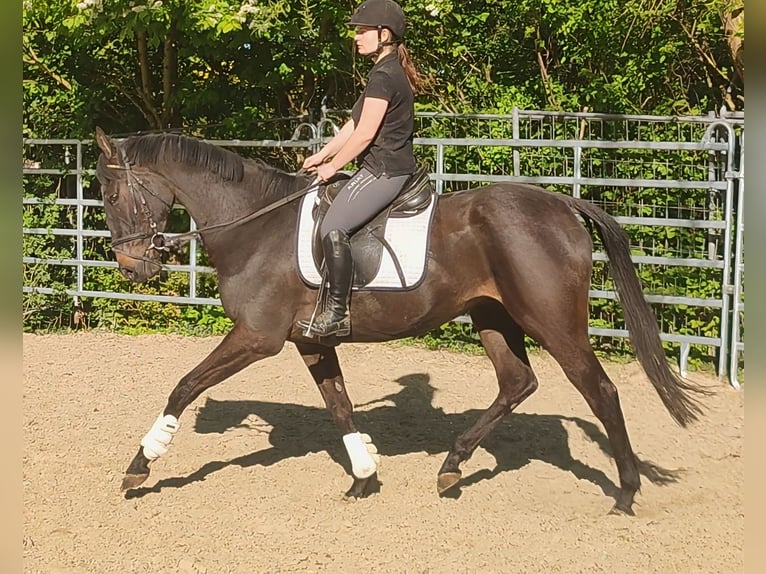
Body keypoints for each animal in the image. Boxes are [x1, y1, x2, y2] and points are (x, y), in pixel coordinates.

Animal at [93, 127, 706, 515]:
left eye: (111, 192)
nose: (131, 266)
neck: (253, 227)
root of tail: (561, 205)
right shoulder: (309, 341)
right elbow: (339, 405)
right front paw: (364, 477)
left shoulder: (257, 337)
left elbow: (184, 386)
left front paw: (140, 466)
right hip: (493, 316)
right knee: (517, 382)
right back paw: (452, 467)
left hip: (553, 322)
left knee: (599, 390)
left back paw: (624, 493)